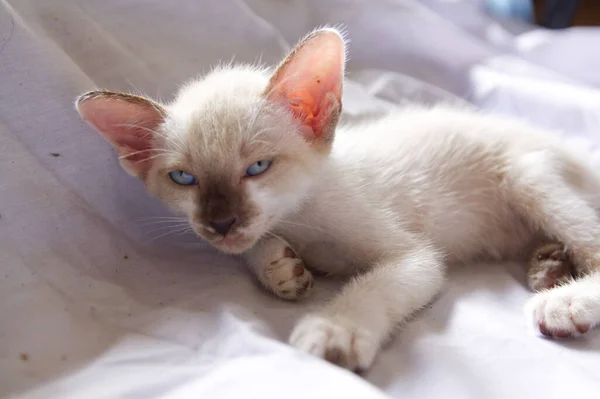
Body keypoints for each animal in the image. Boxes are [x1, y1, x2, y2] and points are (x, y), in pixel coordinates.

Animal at [75, 29, 600, 374]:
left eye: (257, 168)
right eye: (184, 178)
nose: (220, 222)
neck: (303, 217)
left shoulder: (412, 257)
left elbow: (373, 287)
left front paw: (333, 331)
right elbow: (254, 247)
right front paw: (278, 268)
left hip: (526, 175)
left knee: (592, 239)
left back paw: (564, 300)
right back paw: (549, 264)